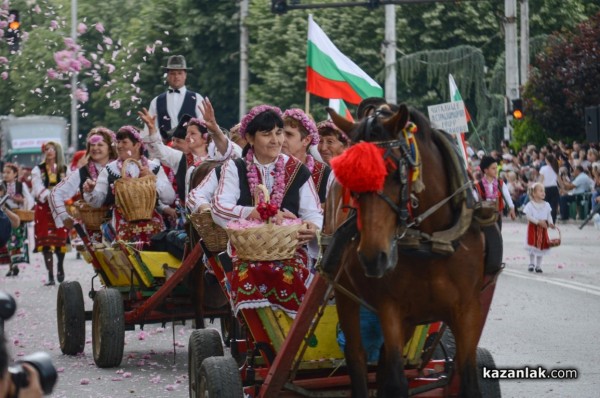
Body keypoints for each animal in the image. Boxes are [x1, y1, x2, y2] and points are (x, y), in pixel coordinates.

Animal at [324, 104, 488, 396]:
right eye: (351, 180)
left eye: (391, 173)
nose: (372, 257)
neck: (433, 242)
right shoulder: (391, 309)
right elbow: (396, 381)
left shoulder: (467, 309)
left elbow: (469, 379)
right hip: (345, 294)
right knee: (357, 357)